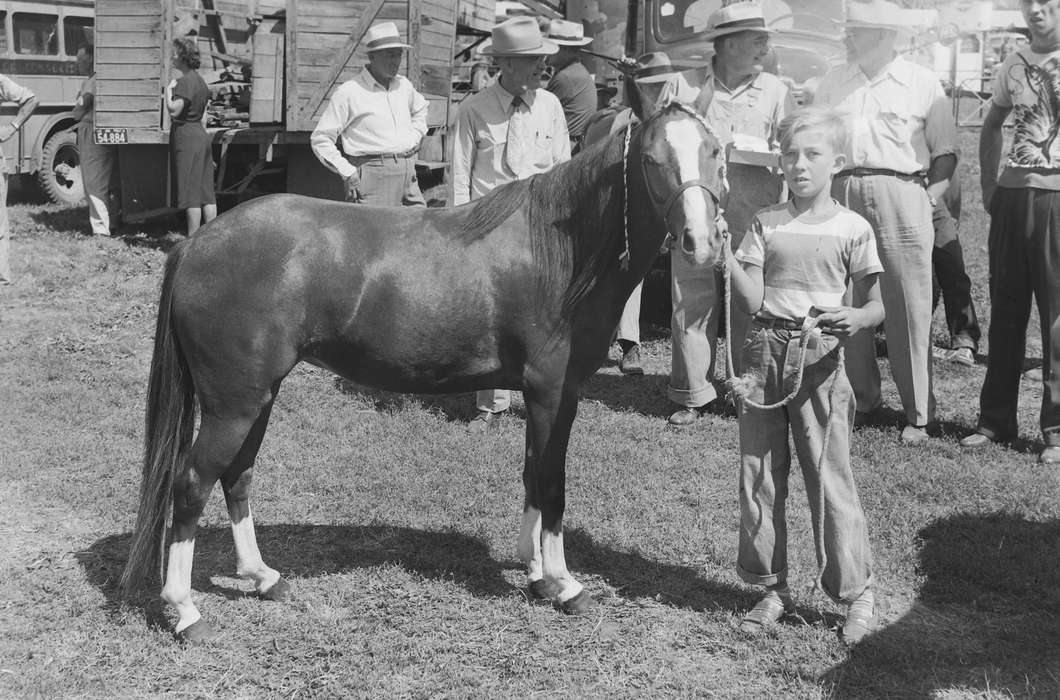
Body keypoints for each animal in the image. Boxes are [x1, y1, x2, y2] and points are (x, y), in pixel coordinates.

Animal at [120, 101, 726, 642]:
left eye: (716, 151)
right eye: (650, 159)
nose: (701, 243)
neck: (557, 248)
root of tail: (198, 243)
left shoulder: (540, 396)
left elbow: (533, 476)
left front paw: (533, 572)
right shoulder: (555, 392)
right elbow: (553, 484)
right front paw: (562, 584)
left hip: (258, 398)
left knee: (237, 476)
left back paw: (263, 578)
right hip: (234, 404)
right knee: (192, 484)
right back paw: (184, 611)